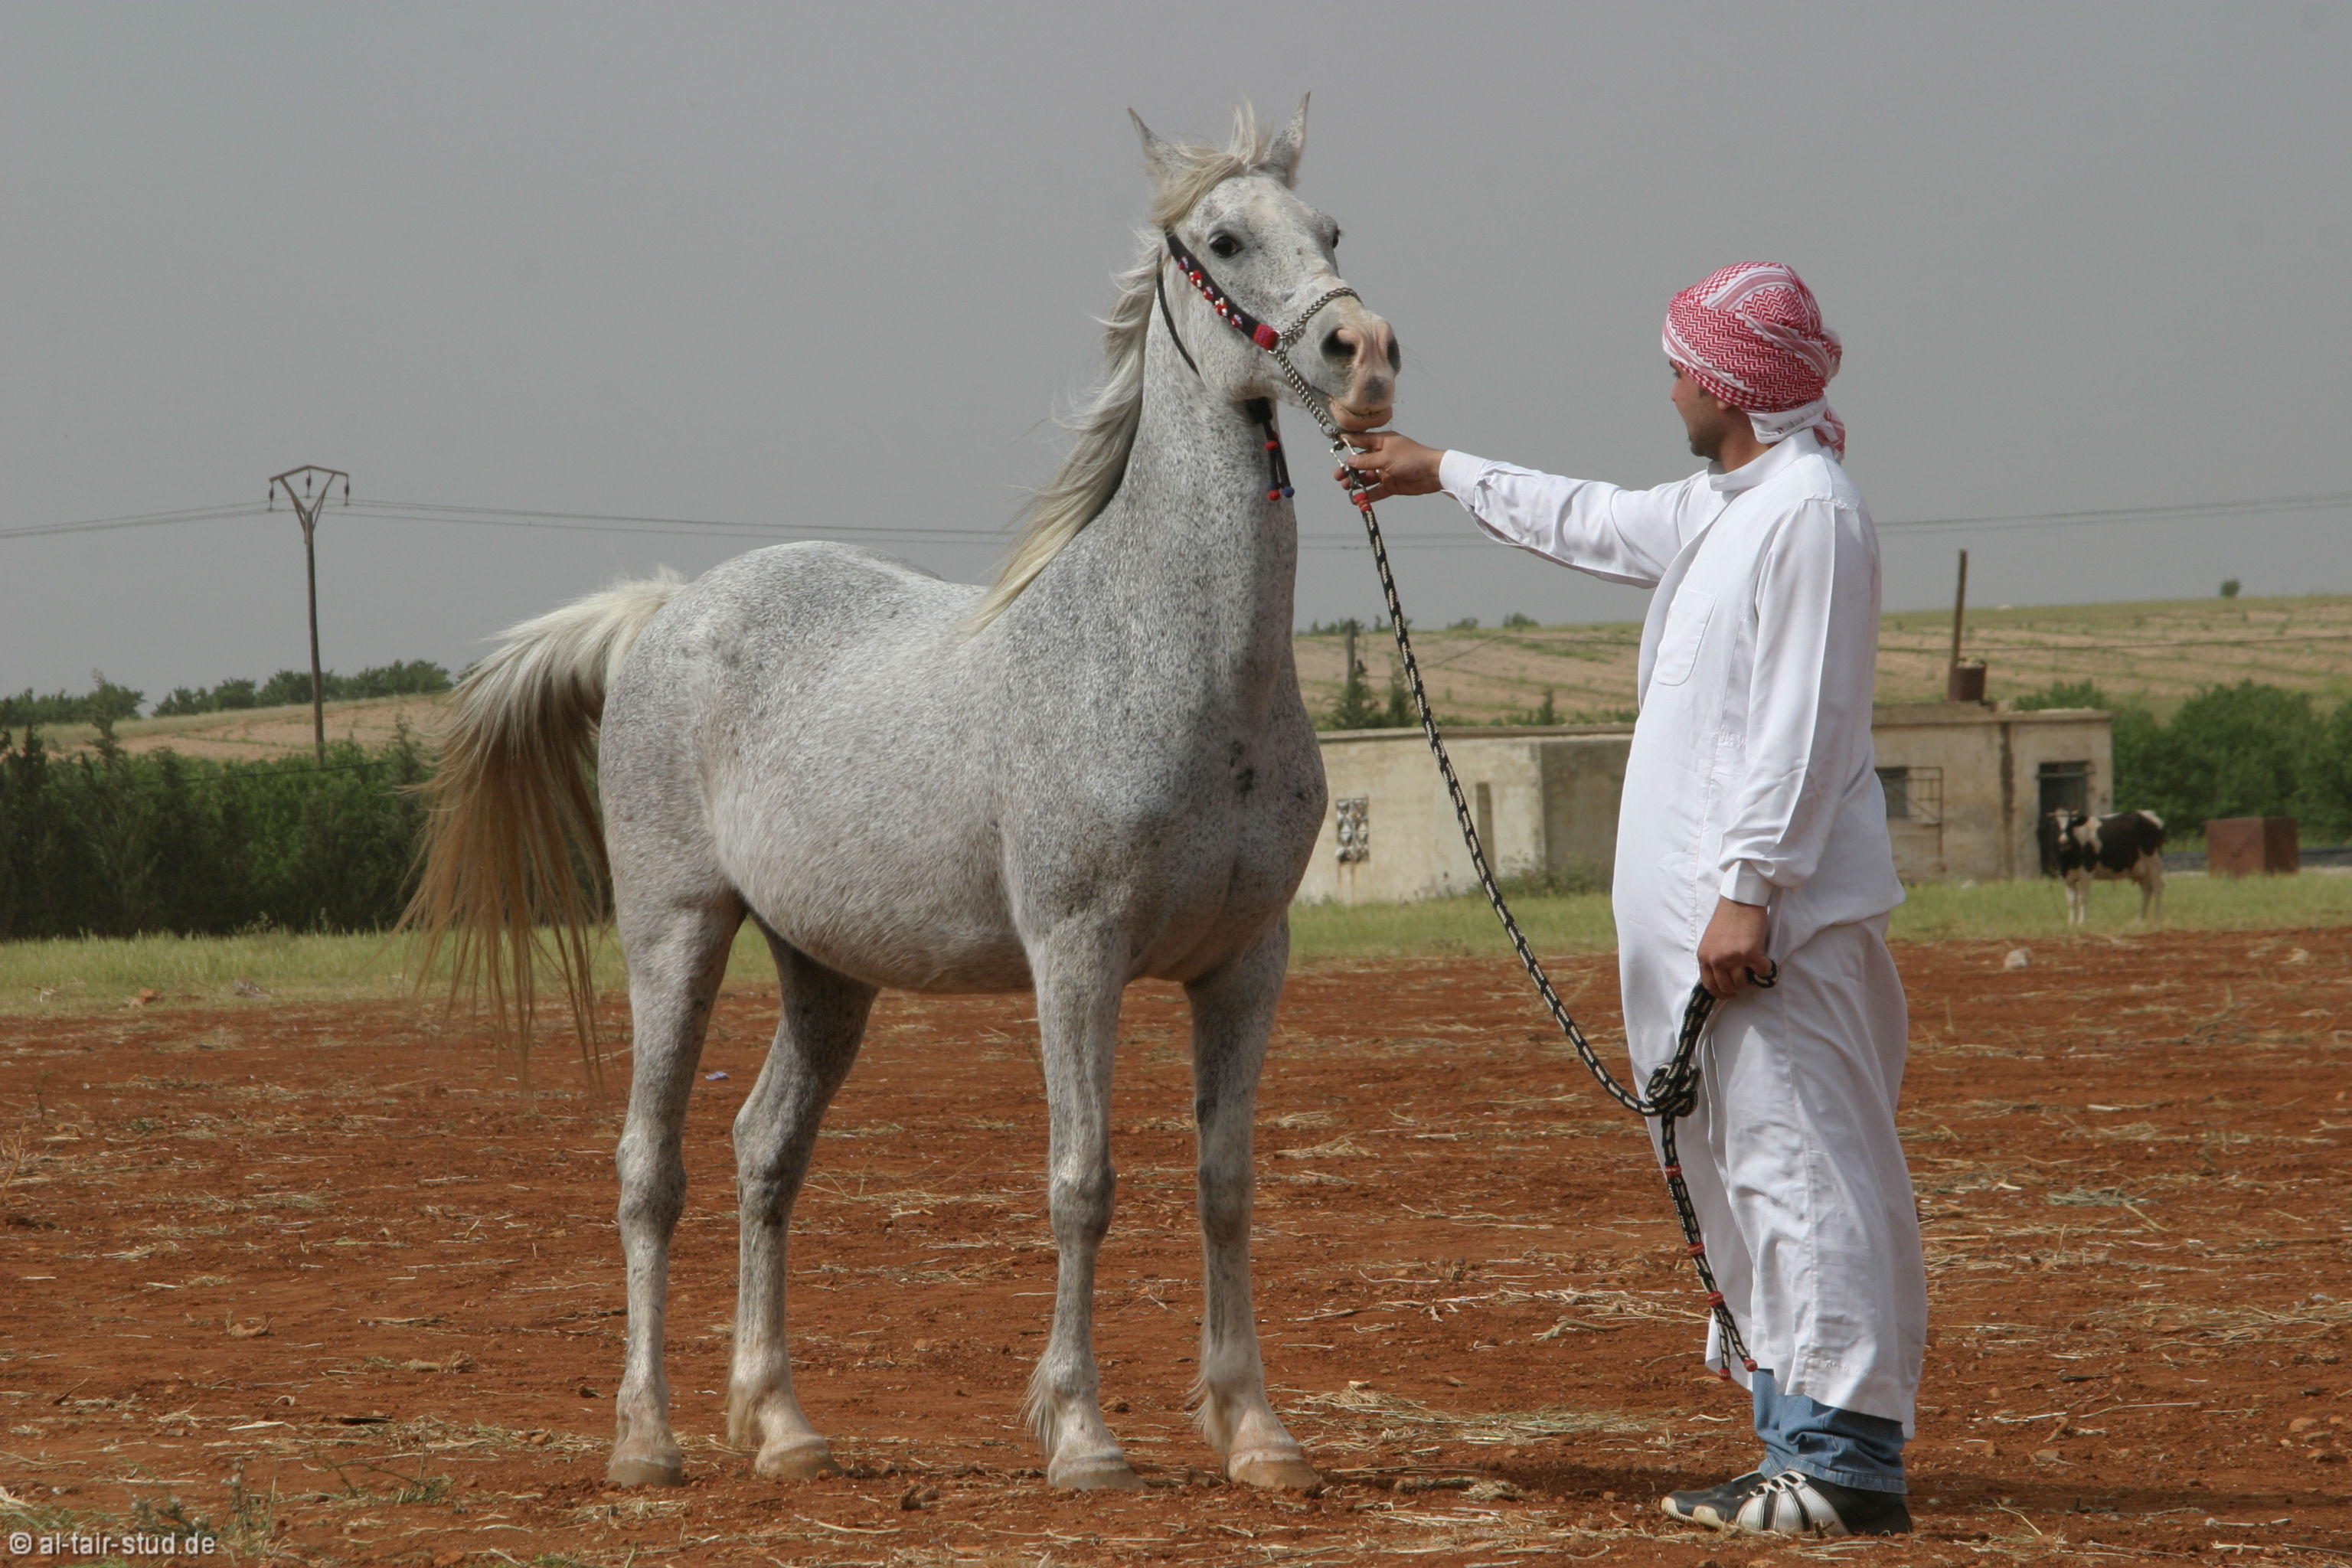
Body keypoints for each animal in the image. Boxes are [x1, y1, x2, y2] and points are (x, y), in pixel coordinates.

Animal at [406, 101, 1398, 1495]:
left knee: (764, 1154)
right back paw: (647, 1439)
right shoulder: (1076, 953)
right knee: (651, 1168)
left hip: (826, 975)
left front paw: (1256, 1429)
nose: (1364, 355)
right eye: (1222, 239)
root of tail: (667, 609)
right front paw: (1082, 1434)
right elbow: (1082, 1180)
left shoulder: (1247, 962)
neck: (1175, 659)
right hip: (674, 932)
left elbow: (1225, 1183)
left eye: (1330, 231)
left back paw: (781, 1424)